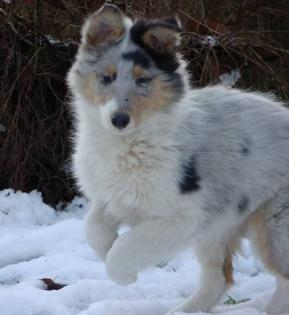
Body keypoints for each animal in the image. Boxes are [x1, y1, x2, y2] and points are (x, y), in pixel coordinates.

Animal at [67, 3, 288, 314]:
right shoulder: (111, 198)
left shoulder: (184, 216)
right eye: (106, 78)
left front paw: (124, 275)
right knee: (217, 279)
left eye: (143, 80)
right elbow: (94, 230)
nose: (119, 120)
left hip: (273, 226)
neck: (130, 145)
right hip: (220, 226)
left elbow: (123, 249)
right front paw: (113, 259)